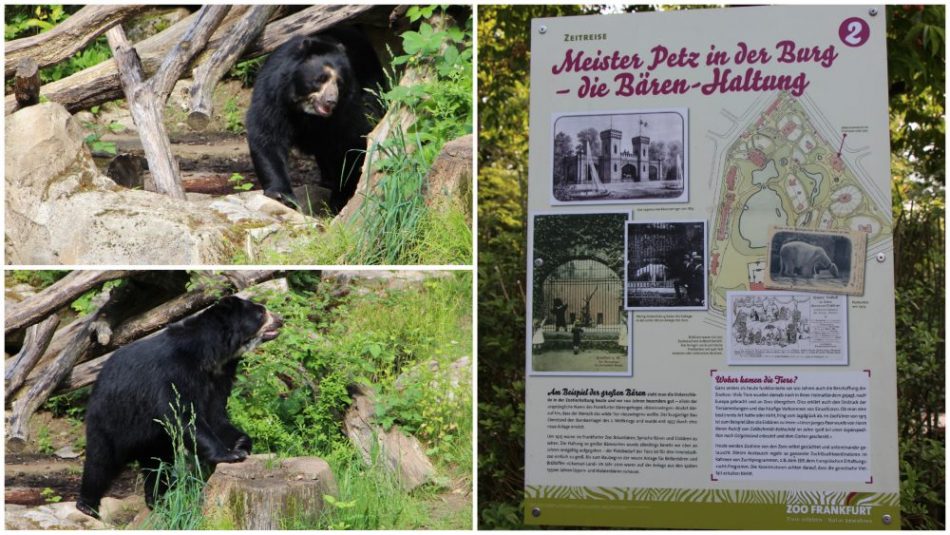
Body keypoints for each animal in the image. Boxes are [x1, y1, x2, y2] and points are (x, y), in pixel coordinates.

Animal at [76, 296, 284, 516]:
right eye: (261, 313)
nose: (281, 319)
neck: (213, 355)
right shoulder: (174, 372)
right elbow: (184, 415)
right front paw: (231, 454)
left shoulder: (219, 378)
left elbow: (215, 414)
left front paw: (241, 443)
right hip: (112, 415)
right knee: (101, 460)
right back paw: (87, 505)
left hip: (154, 437)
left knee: (157, 464)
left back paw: (158, 500)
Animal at [247, 28, 384, 214]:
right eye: (320, 79)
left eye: (339, 83)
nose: (331, 101)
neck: (306, 111)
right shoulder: (273, 93)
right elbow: (266, 135)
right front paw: (281, 196)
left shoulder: (347, 107)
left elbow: (351, 142)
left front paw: (340, 199)